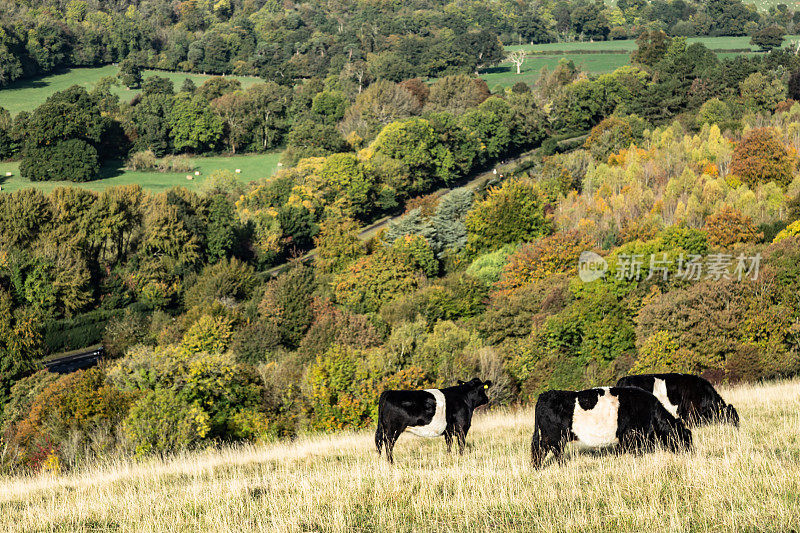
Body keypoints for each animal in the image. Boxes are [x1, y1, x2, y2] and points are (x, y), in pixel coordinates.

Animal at [528, 384, 692, 468]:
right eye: (685, 437)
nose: (691, 453)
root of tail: (545, 395)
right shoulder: (633, 435)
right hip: (553, 437)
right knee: (546, 451)